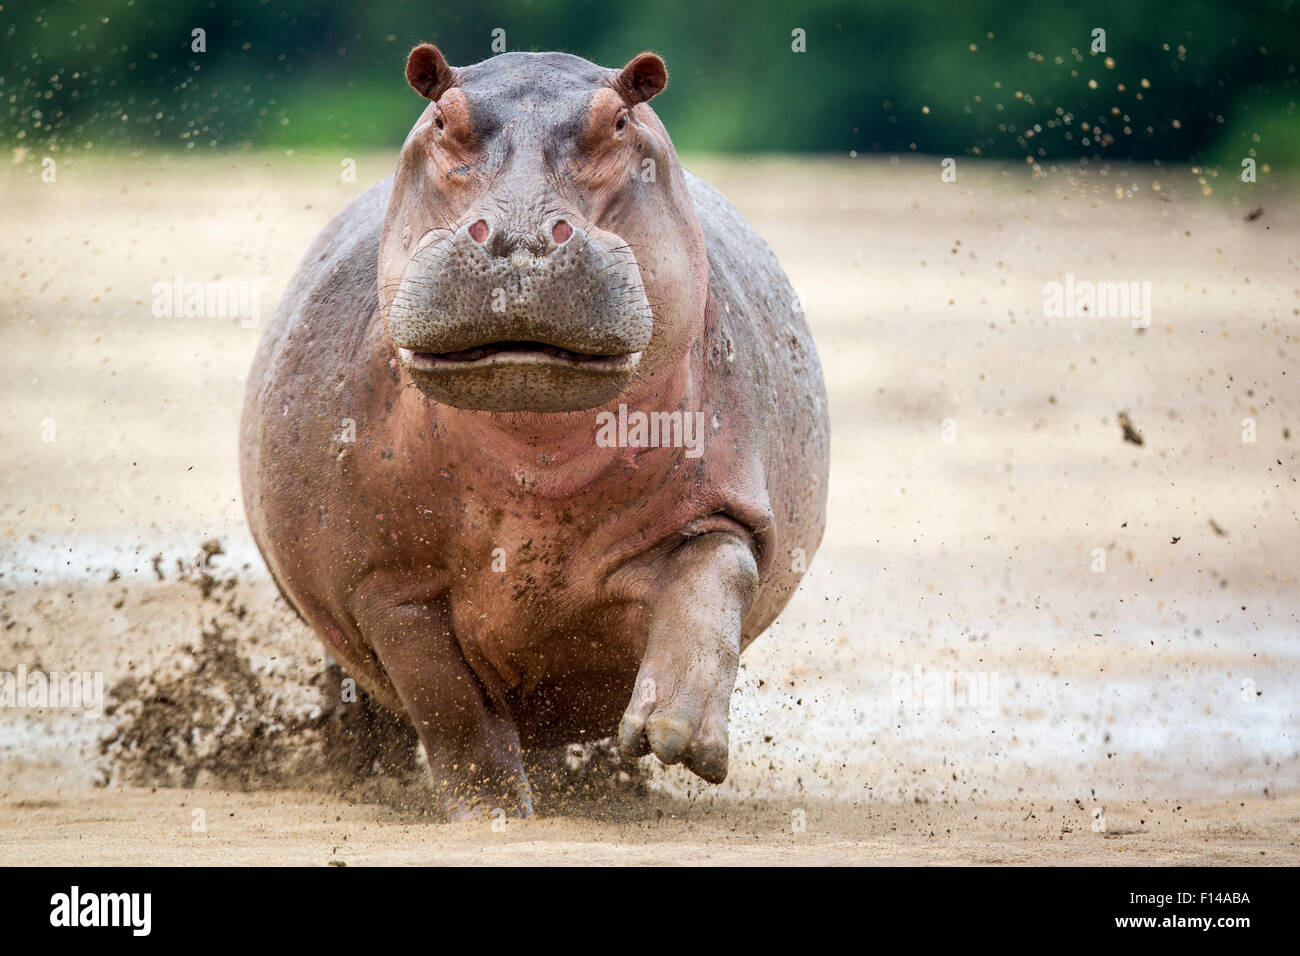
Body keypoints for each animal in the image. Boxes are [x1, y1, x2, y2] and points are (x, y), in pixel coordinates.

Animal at [239, 44, 826, 816]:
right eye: (440, 118)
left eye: (620, 121)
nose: (518, 236)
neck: (536, 461)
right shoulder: (387, 581)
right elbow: (448, 703)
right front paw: (493, 814)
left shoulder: (724, 505)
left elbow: (711, 582)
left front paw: (674, 737)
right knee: (369, 692)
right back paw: (361, 769)